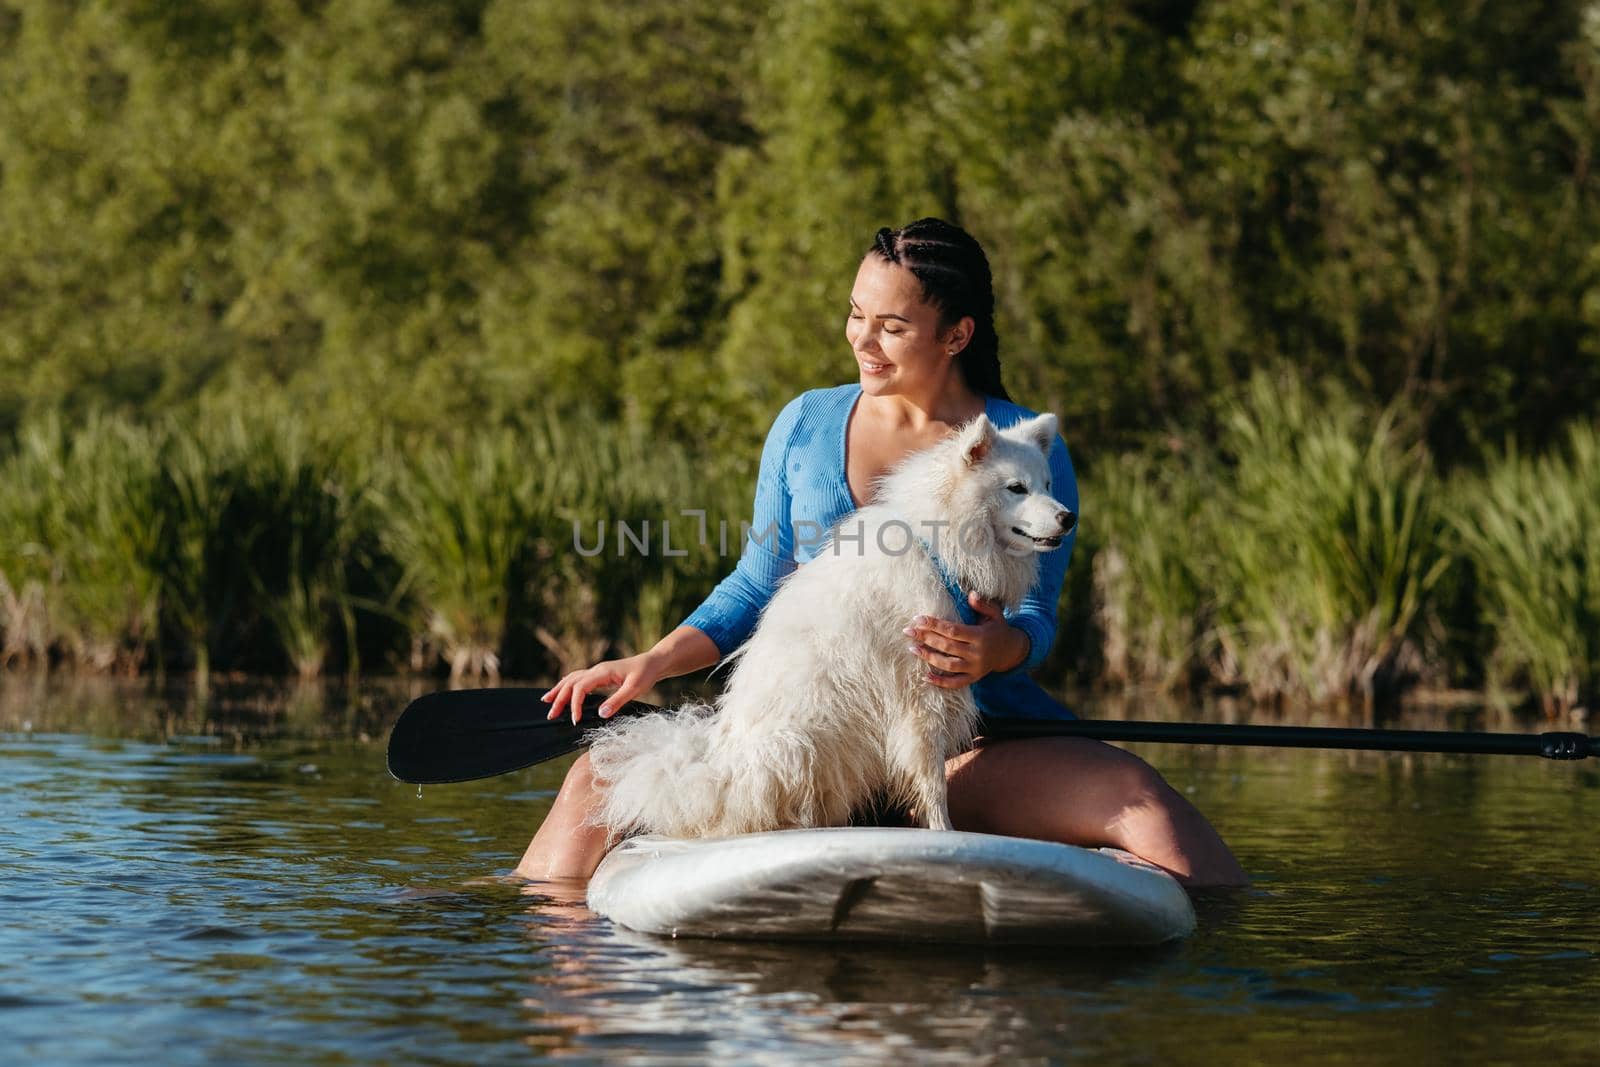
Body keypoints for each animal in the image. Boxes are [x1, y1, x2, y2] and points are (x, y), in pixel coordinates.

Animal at [588, 412, 1075, 838]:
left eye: (1049, 484)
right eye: (1016, 488)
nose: (1069, 517)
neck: (939, 547)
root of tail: (716, 778)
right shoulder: (919, 692)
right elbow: (932, 780)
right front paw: (944, 832)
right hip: (799, 743)